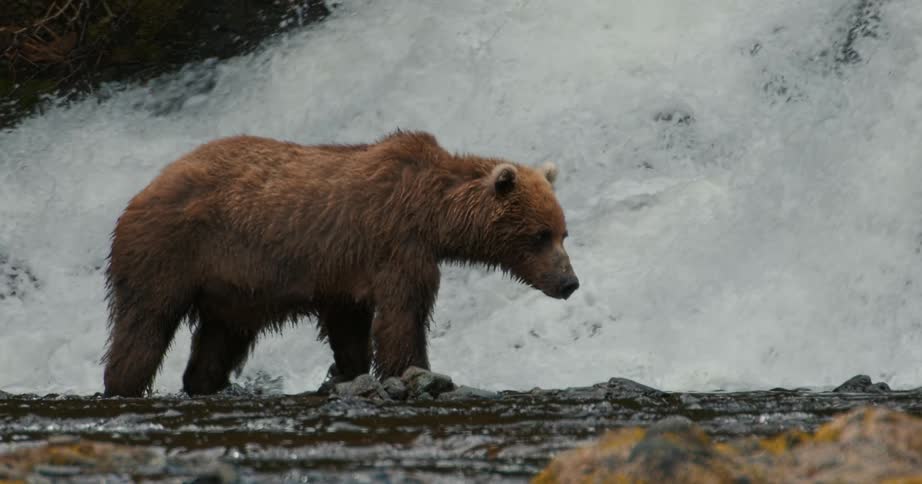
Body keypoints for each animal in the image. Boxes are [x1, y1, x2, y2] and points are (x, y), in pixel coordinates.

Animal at [101, 130, 579, 397]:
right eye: (540, 235)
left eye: (563, 232)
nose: (569, 282)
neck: (432, 214)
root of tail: (147, 186)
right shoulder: (395, 246)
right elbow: (403, 316)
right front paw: (412, 370)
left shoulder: (346, 275)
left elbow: (350, 327)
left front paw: (351, 372)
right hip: (170, 251)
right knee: (144, 324)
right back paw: (123, 385)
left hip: (232, 289)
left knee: (220, 339)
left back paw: (202, 384)